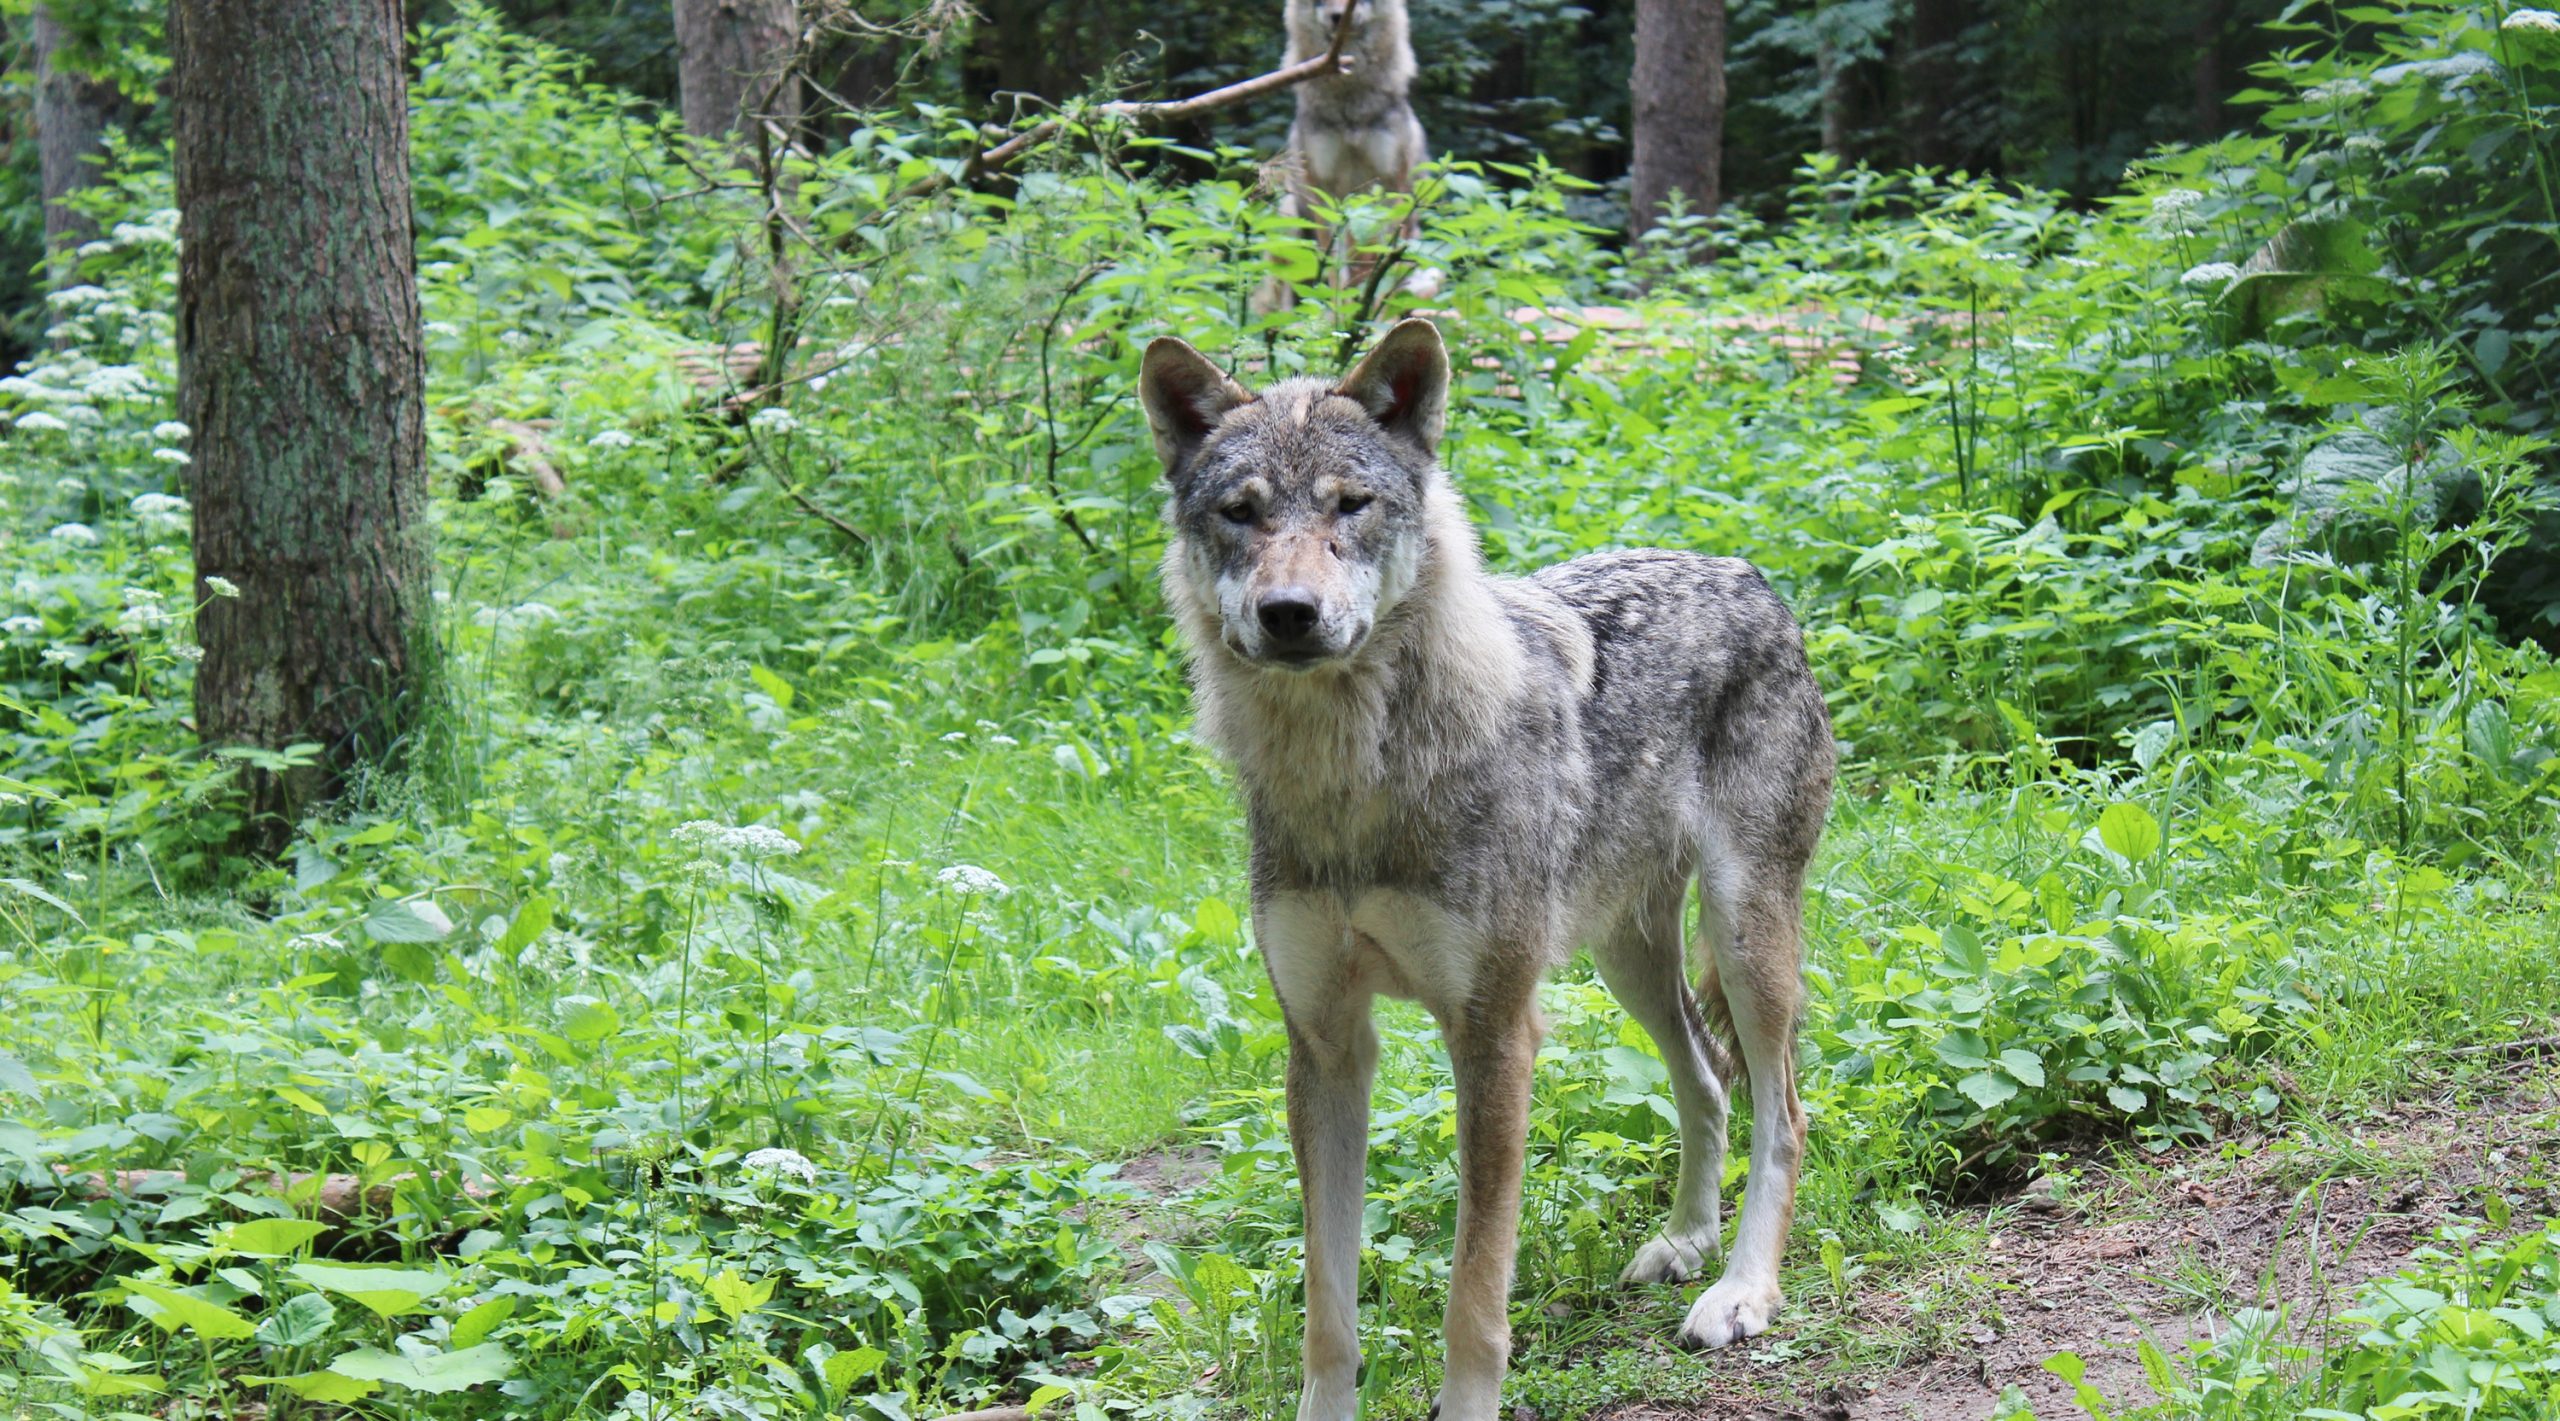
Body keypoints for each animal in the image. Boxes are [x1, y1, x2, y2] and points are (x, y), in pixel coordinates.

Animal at [1140, 318, 1837, 1421]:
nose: (1289, 612)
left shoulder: (1494, 1035)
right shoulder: (1325, 1047)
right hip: (1626, 962)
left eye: (1350, 504)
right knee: (1707, 1077)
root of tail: (1749, 575)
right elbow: (1327, 1307)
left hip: (1741, 934)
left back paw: (1740, 1291)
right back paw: (1686, 1240)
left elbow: (1474, 1296)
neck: (1355, 782)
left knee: (1784, 1108)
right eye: (1239, 513)